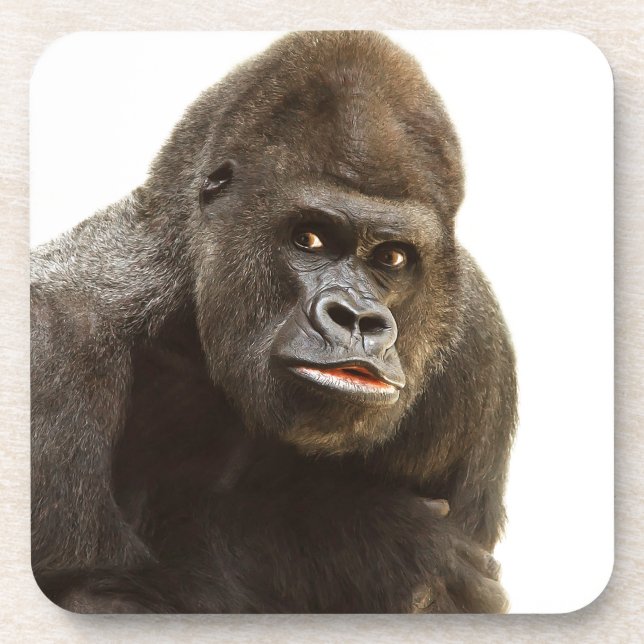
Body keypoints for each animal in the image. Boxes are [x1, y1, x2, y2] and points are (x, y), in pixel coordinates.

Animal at [31, 30, 517, 613]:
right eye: (309, 238)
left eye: (393, 258)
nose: (357, 319)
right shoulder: (55, 338)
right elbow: (94, 590)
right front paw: (367, 543)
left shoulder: (478, 348)